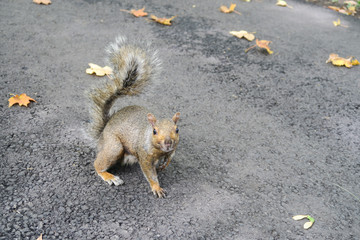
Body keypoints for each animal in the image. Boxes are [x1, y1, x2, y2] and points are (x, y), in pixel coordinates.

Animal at [88, 35, 180, 197]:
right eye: (154, 131)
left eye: (177, 130)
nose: (168, 142)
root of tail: (102, 134)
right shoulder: (144, 156)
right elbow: (149, 173)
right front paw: (156, 187)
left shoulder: (173, 148)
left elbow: (170, 156)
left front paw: (164, 164)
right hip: (114, 146)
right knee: (98, 164)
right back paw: (109, 177)